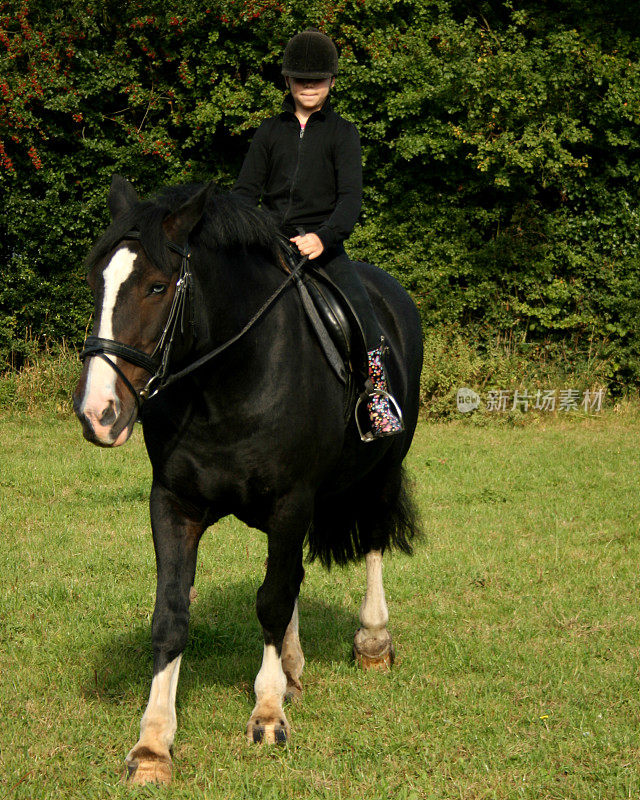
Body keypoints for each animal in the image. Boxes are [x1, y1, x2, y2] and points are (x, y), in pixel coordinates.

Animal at [72, 177, 422, 788]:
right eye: (98, 283)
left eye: (157, 286)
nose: (98, 414)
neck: (229, 378)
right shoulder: (175, 503)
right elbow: (172, 614)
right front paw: (153, 744)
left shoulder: (290, 501)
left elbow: (272, 600)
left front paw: (268, 713)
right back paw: (295, 668)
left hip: (380, 470)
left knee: (373, 541)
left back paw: (373, 641)